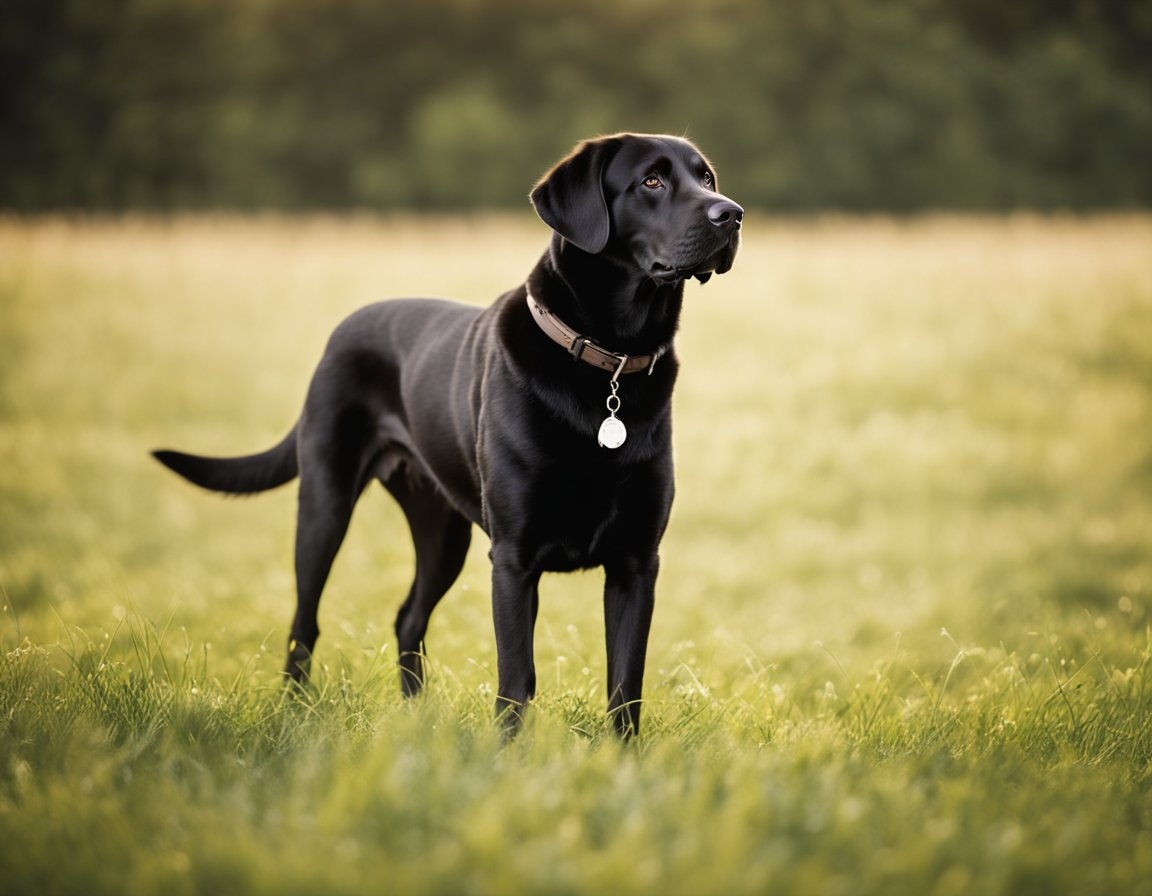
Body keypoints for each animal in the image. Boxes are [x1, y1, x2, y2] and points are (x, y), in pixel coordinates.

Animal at [153, 130, 741, 732]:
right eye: (652, 180)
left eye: (706, 178)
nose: (732, 214)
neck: (610, 362)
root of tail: (340, 332)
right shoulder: (513, 559)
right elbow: (517, 679)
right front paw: (509, 752)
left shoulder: (636, 561)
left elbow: (626, 685)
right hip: (325, 505)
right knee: (305, 621)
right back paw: (296, 710)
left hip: (443, 532)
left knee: (408, 617)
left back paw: (414, 716)